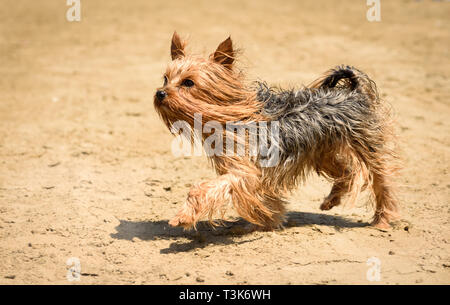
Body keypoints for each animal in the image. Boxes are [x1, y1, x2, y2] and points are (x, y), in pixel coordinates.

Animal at [154, 32, 398, 229]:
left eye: (188, 83)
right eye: (165, 79)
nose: (160, 93)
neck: (230, 115)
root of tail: (354, 90)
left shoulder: (244, 172)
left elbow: (203, 188)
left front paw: (183, 217)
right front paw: (269, 220)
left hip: (367, 144)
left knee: (382, 182)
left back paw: (382, 220)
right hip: (321, 151)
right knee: (346, 171)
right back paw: (331, 200)